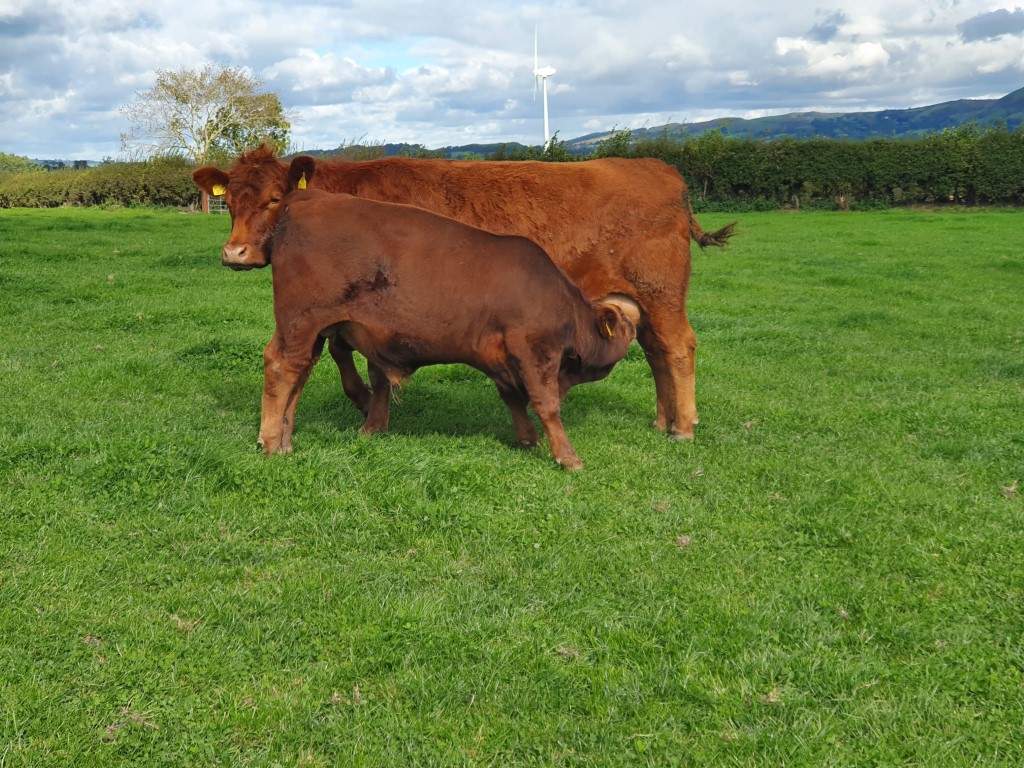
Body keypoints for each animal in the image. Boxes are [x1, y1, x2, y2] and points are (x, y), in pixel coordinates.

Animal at [193, 146, 734, 440]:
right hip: (641, 300)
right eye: (230, 200)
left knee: (677, 348)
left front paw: (370, 409)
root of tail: (658, 169)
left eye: (274, 199)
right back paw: (663, 421)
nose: (236, 253)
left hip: (662, 293)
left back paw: (683, 426)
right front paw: (367, 406)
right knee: (656, 351)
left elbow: (361, 361)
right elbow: (342, 351)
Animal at [196, 184, 640, 469]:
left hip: (314, 330)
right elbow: (547, 404)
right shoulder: (534, 351)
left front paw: (527, 440)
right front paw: (568, 457)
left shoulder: (500, 358)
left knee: (299, 373)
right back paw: (271, 440)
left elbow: (514, 399)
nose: (637, 334)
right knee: (281, 367)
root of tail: (305, 199)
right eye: (626, 330)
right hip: (299, 321)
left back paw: (286, 441)